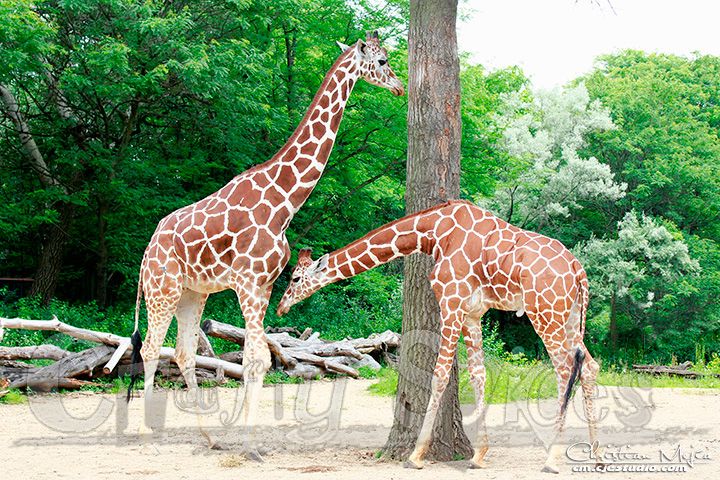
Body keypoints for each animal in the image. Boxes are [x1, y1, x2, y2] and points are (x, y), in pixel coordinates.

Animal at [127, 32, 404, 456]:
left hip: (193, 293)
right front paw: (249, 444)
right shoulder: (247, 284)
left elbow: (256, 359)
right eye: (384, 60)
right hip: (163, 289)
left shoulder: (265, 285)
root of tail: (146, 251)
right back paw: (145, 432)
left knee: (185, 353)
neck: (285, 201)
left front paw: (243, 439)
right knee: (150, 348)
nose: (400, 86)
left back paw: (209, 437)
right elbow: (255, 358)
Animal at [277, 200, 600, 473]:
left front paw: (416, 456)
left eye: (295, 278)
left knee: (564, 369)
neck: (432, 233)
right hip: (569, 317)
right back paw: (596, 454)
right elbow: (478, 374)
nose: (281, 307)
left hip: (545, 313)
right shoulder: (472, 313)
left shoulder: (451, 302)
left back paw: (552, 459)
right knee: (590, 366)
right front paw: (479, 455)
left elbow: (440, 374)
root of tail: (578, 270)